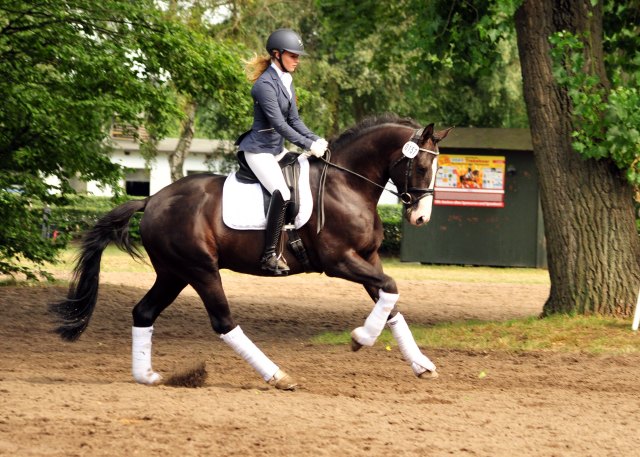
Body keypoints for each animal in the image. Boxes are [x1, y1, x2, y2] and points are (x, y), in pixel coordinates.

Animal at [50, 114, 452, 388]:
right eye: (420, 165)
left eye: (436, 167)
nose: (420, 217)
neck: (347, 183)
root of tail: (152, 200)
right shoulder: (340, 261)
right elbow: (391, 289)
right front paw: (360, 339)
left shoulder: (367, 258)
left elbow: (390, 300)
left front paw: (420, 364)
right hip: (200, 270)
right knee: (223, 322)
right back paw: (277, 375)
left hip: (173, 273)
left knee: (144, 311)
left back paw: (147, 376)